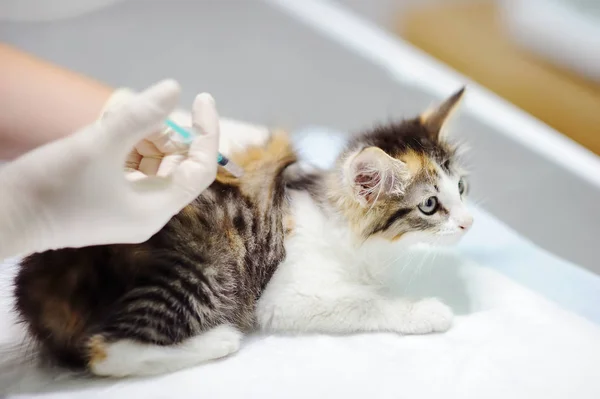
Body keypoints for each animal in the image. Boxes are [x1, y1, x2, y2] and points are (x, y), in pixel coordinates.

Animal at [10, 87, 468, 378]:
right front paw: (424, 310)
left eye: (461, 188)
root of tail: (34, 290)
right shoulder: (285, 295)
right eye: (430, 205)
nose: (469, 223)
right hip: (204, 270)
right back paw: (219, 340)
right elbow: (362, 302)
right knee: (107, 351)